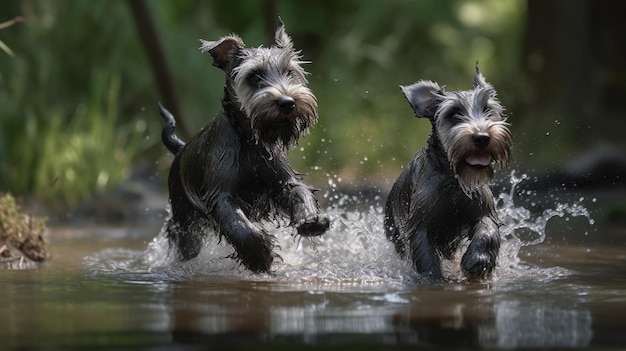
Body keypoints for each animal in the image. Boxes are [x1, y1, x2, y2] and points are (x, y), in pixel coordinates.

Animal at [158, 20, 330, 276]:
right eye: (254, 76)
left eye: (289, 72)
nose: (288, 103)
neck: (250, 141)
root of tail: (180, 149)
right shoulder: (221, 195)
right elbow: (239, 225)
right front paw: (260, 255)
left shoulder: (283, 183)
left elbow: (300, 194)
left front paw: (311, 221)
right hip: (185, 225)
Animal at [382, 65, 510, 280]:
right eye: (454, 114)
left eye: (488, 110)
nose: (482, 137)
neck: (454, 182)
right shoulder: (420, 225)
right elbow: (425, 255)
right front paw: (433, 278)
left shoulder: (484, 210)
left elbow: (487, 230)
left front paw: (478, 260)